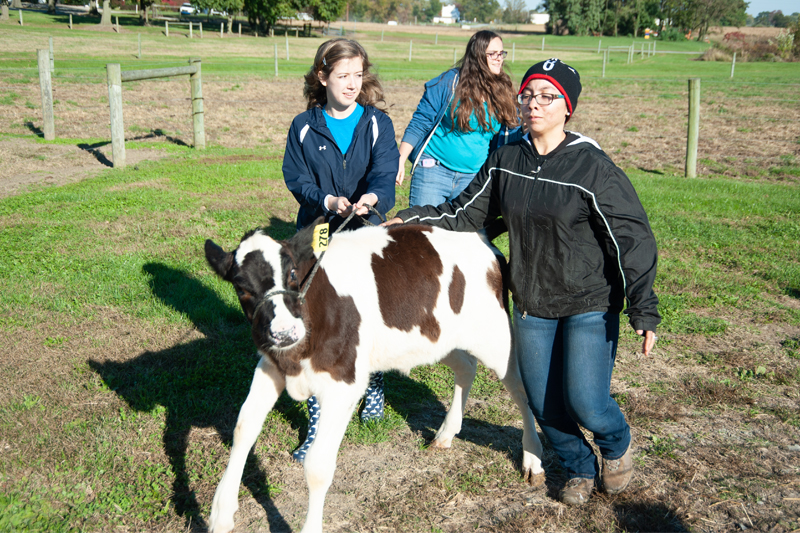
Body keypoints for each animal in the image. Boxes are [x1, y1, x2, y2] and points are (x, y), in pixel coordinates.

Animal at [203, 219, 548, 532]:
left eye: (291, 274)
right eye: (241, 288)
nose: (286, 332)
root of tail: (482, 238)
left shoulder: (344, 382)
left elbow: (317, 466)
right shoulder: (270, 365)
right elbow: (243, 427)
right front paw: (221, 514)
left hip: (496, 336)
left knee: (520, 389)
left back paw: (532, 459)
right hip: (437, 337)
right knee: (466, 367)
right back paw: (446, 434)